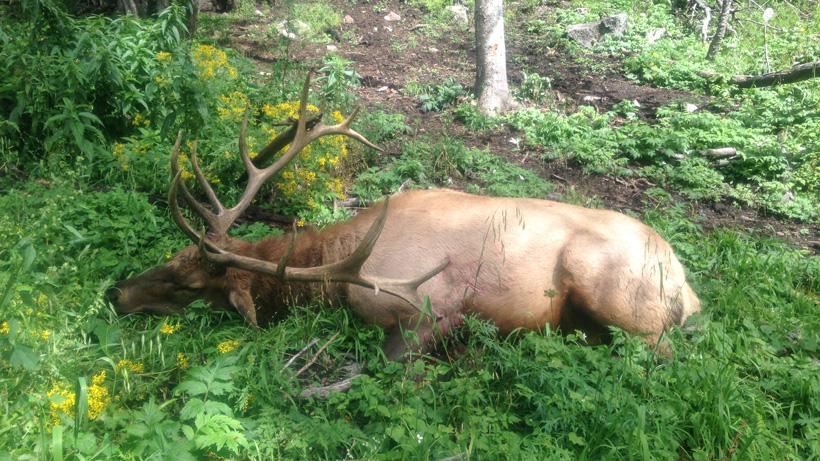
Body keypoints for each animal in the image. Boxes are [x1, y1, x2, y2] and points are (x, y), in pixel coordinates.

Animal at [108, 75, 701, 361]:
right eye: (173, 255)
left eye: (189, 287)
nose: (115, 292)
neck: (332, 267)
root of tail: (684, 282)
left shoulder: (431, 305)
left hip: (618, 299)